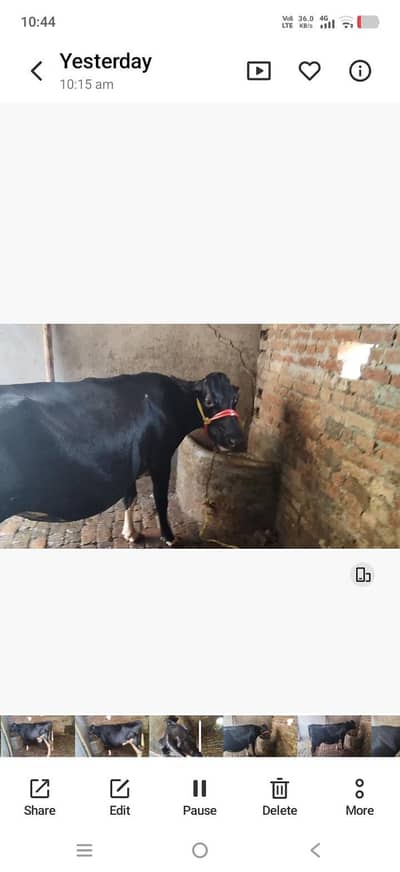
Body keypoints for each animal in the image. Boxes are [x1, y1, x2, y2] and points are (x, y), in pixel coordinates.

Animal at [0, 371, 243, 546]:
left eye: (235, 399)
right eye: (209, 401)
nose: (236, 439)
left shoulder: (128, 463)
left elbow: (130, 497)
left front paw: (130, 533)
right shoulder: (160, 458)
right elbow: (161, 500)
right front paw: (169, 536)